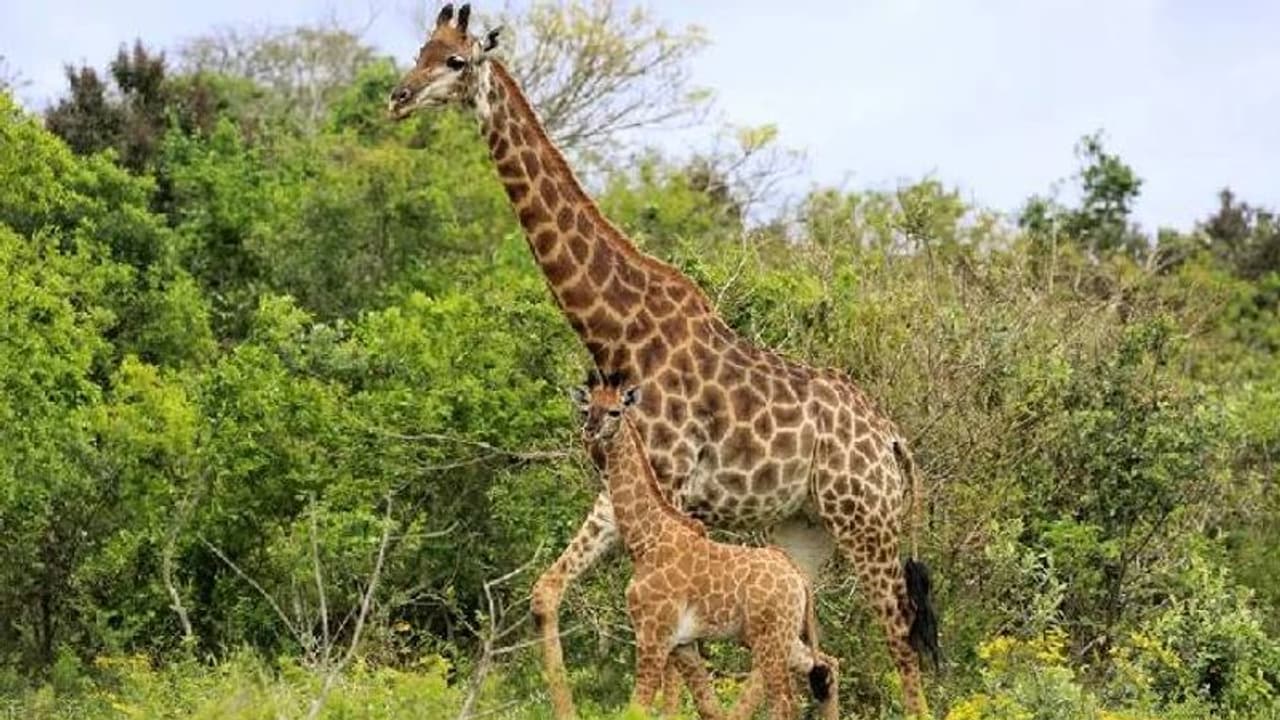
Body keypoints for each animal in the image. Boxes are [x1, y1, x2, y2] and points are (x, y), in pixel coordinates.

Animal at [574, 373, 838, 720]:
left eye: (615, 412)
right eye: (587, 408)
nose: (589, 429)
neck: (645, 539)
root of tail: (798, 577)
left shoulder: (652, 634)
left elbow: (638, 706)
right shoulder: (682, 644)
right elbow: (706, 707)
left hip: (770, 637)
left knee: (785, 702)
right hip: (784, 636)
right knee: (827, 666)